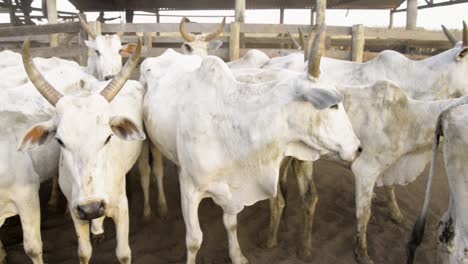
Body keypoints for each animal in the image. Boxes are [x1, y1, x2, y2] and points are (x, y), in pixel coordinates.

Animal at [16, 38, 144, 262]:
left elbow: (123, 254)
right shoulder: (76, 210)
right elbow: (84, 253)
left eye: (108, 137)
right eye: (59, 141)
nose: (91, 207)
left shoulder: (121, 207)